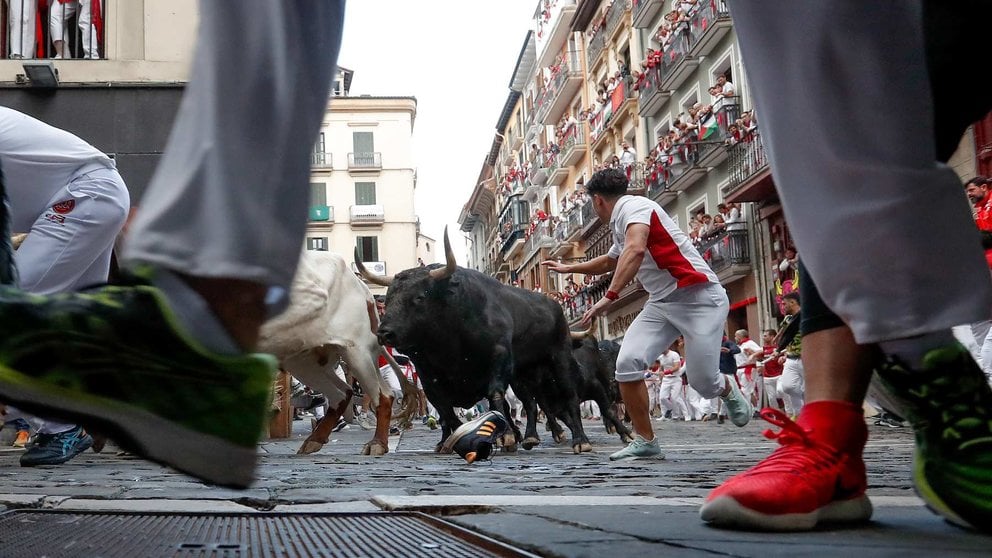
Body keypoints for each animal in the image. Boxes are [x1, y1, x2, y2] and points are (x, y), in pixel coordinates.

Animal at [260, 252, 414, 458]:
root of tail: (363, 289)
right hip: (303, 362)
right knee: (342, 393)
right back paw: (314, 440)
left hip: (357, 352)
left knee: (382, 395)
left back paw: (377, 443)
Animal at [356, 232, 588, 456]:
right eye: (387, 299)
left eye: (419, 297)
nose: (384, 333)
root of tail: (554, 305)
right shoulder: (427, 375)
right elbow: (445, 411)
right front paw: (451, 441)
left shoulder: (499, 358)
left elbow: (495, 395)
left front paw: (507, 436)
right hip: (523, 375)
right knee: (531, 403)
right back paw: (528, 437)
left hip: (560, 359)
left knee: (567, 396)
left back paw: (579, 440)